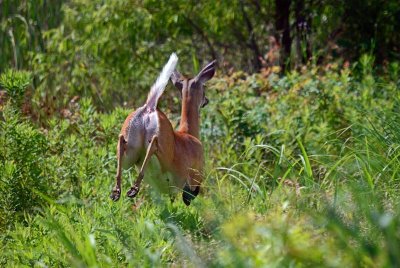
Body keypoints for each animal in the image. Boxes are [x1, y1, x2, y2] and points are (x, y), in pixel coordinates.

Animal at [109, 54, 216, 205]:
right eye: (204, 87)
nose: (206, 100)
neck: (189, 133)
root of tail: (150, 106)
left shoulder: (171, 192)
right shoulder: (192, 183)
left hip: (130, 152)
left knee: (121, 141)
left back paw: (117, 192)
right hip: (165, 155)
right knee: (153, 145)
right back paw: (133, 189)